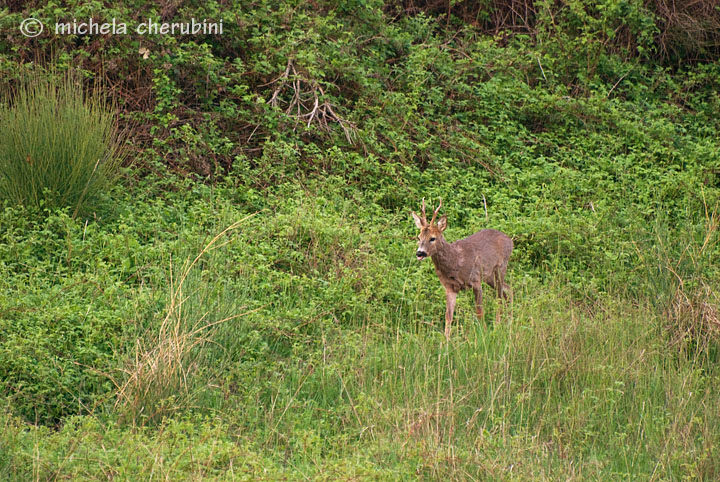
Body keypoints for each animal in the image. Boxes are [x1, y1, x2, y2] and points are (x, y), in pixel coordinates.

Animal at [410, 199, 512, 338]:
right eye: (419, 237)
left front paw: (484, 334)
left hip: (501, 266)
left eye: (432, 238)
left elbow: (479, 311)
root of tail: (510, 240)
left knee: (499, 296)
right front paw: (446, 340)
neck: (456, 262)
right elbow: (448, 316)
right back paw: (510, 320)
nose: (420, 253)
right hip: (489, 276)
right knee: (508, 290)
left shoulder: (475, 280)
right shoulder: (449, 287)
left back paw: (498, 326)